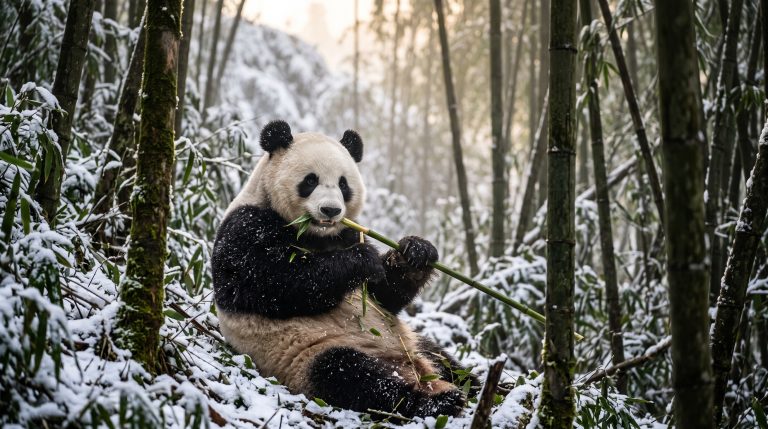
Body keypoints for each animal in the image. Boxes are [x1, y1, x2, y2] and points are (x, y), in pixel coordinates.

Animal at [211, 120, 477, 418]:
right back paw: (437, 401)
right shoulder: (245, 227)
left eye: (343, 184)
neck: (314, 234)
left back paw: (471, 385)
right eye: (310, 180)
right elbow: (272, 283)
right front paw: (360, 260)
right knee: (353, 376)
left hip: (413, 343)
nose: (330, 210)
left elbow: (384, 295)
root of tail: (412, 368)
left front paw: (416, 251)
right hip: (309, 354)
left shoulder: (347, 233)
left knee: (442, 357)